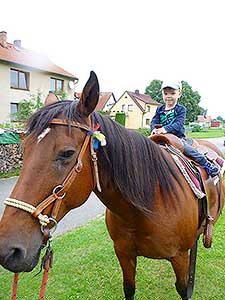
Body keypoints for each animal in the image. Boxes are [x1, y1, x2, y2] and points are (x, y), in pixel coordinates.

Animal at [0, 71, 224, 298]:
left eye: (67, 153)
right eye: (23, 149)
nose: (8, 249)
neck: (149, 205)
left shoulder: (179, 257)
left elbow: (183, 289)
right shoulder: (124, 254)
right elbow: (129, 288)